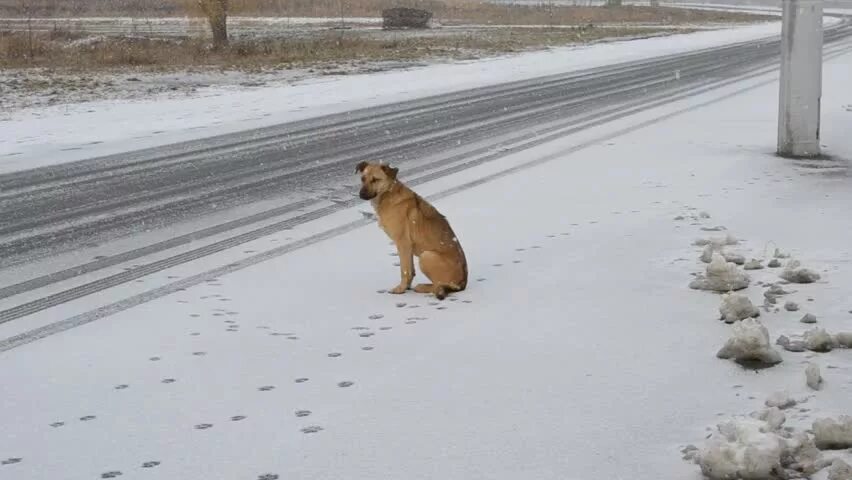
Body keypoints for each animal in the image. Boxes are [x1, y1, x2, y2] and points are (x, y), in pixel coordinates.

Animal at [356, 161, 470, 300]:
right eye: (363, 179)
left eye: (375, 180)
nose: (361, 194)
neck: (388, 193)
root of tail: (463, 283)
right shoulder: (407, 247)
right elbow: (410, 269)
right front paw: (406, 287)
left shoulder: (403, 243)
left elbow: (405, 270)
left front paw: (401, 289)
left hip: (426, 256)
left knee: (441, 285)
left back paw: (422, 287)